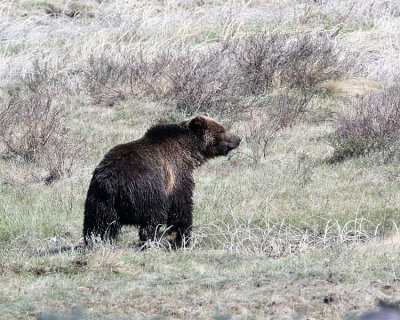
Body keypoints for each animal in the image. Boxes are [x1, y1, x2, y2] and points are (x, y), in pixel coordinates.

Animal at [83, 115, 241, 248]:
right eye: (221, 129)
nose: (238, 138)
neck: (190, 150)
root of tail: (112, 180)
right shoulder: (177, 175)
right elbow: (182, 206)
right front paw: (183, 238)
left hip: (100, 199)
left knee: (98, 224)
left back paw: (94, 243)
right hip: (147, 190)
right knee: (153, 218)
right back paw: (149, 243)